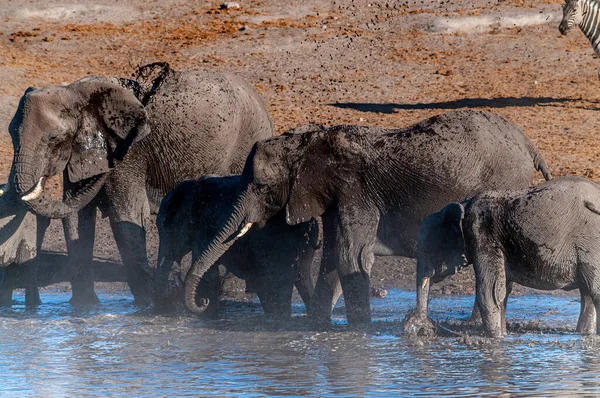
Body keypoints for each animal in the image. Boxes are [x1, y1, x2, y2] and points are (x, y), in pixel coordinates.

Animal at [5, 63, 274, 304]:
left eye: (53, 138)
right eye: (11, 133)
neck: (78, 93)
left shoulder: (130, 152)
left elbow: (127, 214)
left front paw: (148, 304)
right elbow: (75, 213)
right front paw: (85, 307)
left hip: (246, 145)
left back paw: (230, 291)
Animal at [182, 108, 548, 324]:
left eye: (260, 186)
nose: (201, 302)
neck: (309, 144)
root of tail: (528, 143)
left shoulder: (355, 192)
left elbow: (352, 258)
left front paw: (359, 334)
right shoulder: (335, 197)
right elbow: (333, 258)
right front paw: (316, 329)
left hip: (504, 183)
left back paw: (472, 325)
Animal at [414, 179, 600, 338]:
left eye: (427, 249)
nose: (422, 328)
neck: (463, 207)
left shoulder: (483, 237)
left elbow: (489, 292)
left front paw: (496, 339)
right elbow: (503, 291)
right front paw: (503, 336)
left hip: (591, 245)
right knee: (587, 295)